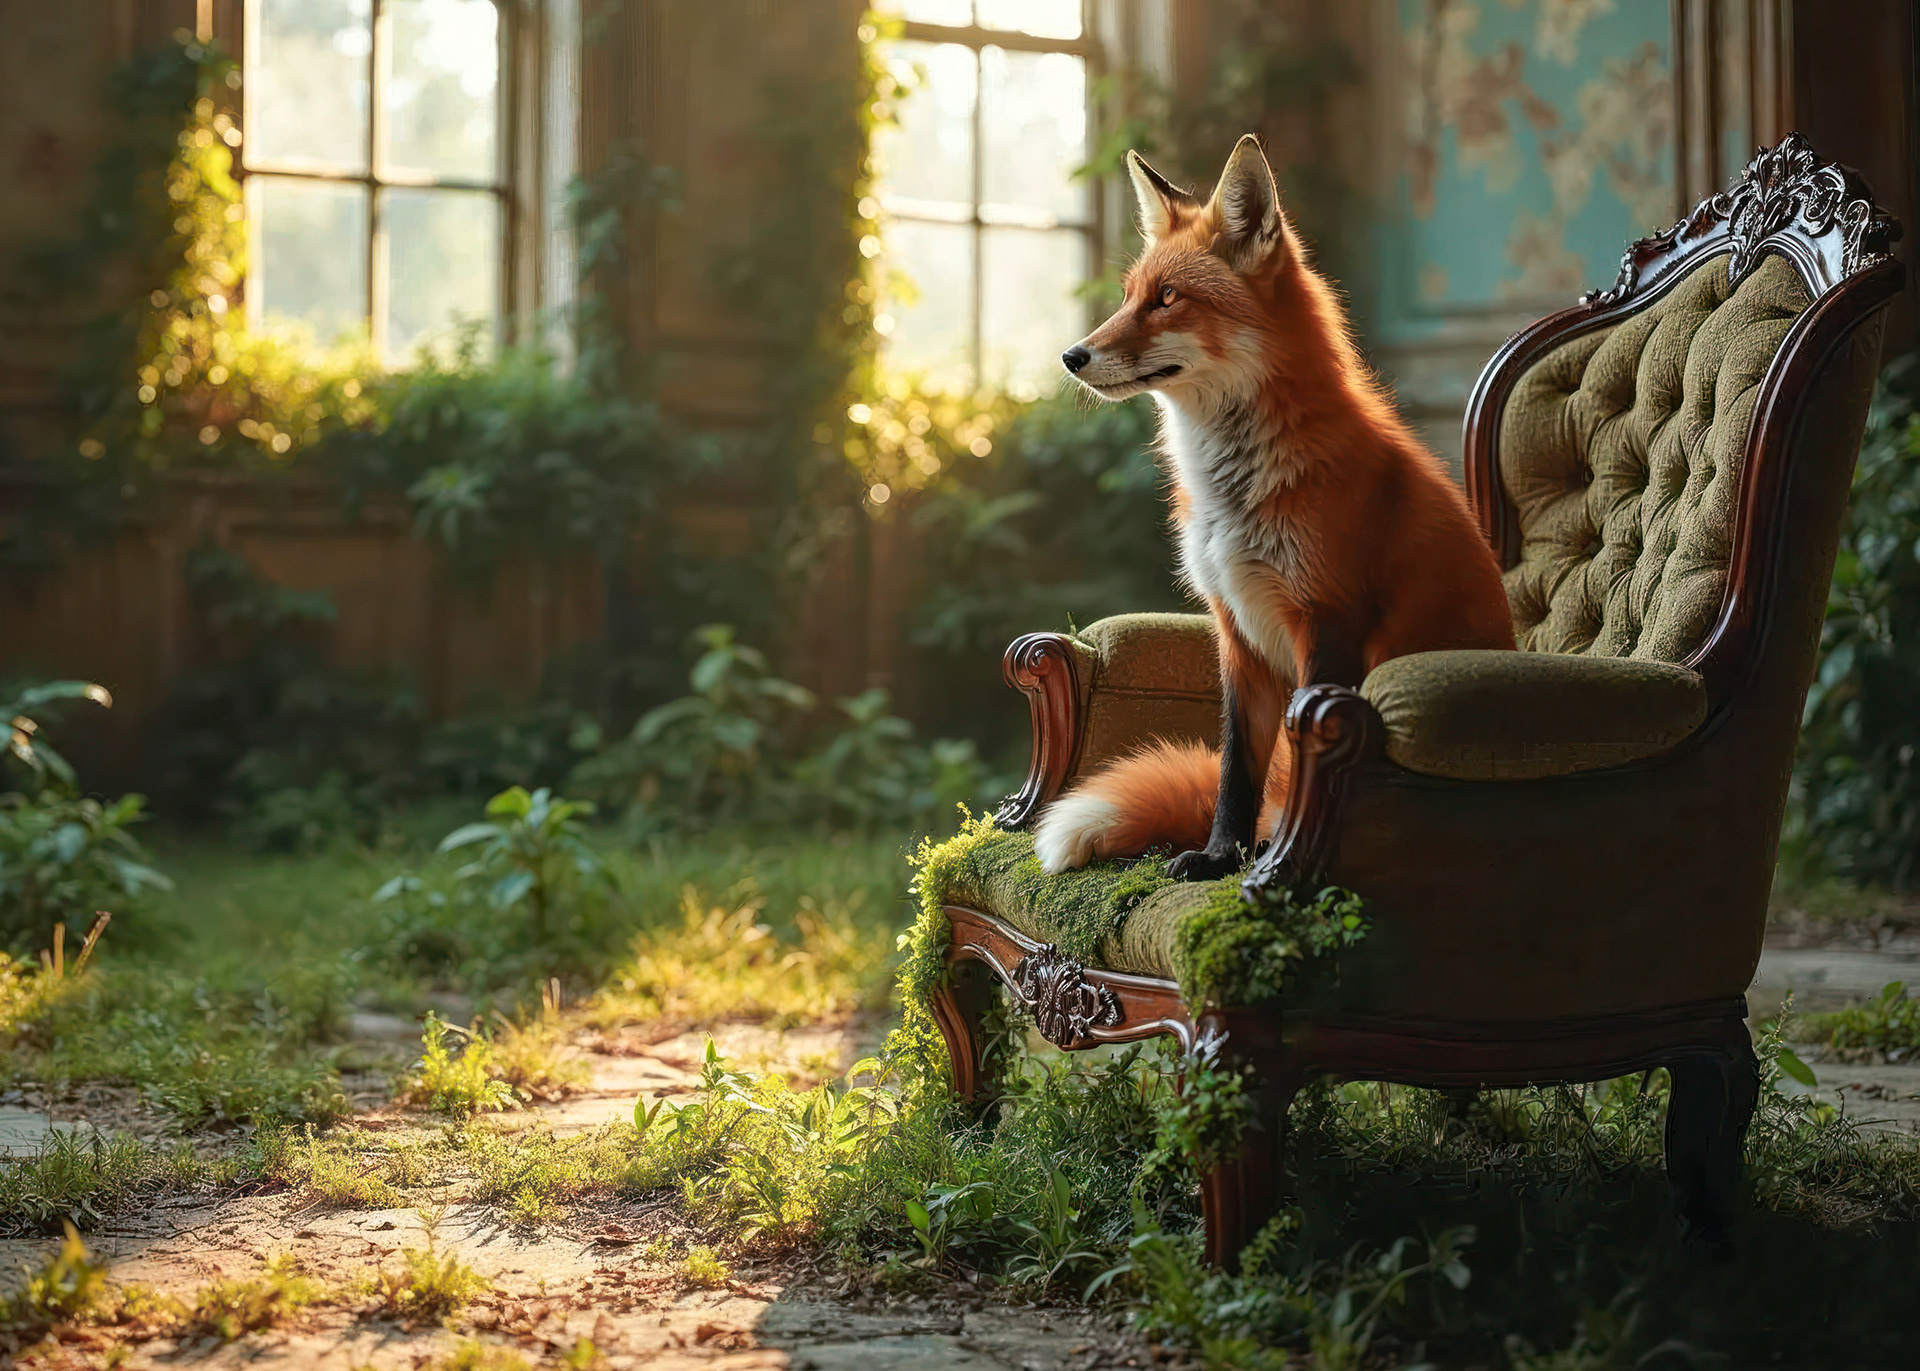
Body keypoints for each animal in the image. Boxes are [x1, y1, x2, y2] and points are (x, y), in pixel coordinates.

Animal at [1034, 134, 1514, 880]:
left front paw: (1268, 856)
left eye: (1167, 299)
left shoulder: (1327, 620)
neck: (1233, 490)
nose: (1071, 356)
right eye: (1130, 296)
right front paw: (1219, 855)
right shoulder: (1237, 630)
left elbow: (1289, 753)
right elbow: (1237, 770)